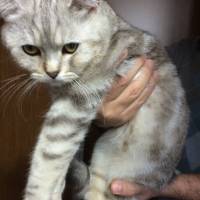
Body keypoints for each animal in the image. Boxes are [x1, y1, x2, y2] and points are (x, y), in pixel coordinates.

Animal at [0, 0, 188, 200]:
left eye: (71, 47)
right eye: (30, 49)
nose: (52, 73)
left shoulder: (77, 101)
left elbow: (48, 156)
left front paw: (40, 193)